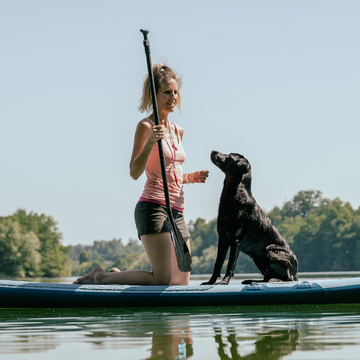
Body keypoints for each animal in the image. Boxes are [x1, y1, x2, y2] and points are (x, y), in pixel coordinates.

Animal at [202, 150, 298, 286]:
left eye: (229, 156)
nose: (213, 151)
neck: (233, 196)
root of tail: (296, 272)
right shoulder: (223, 239)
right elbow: (217, 264)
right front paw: (210, 282)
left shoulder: (236, 240)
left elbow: (230, 265)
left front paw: (224, 281)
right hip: (259, 258)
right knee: (267, 277)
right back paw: (251, 280)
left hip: (270, 251)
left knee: (288, 278)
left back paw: (275, 280)